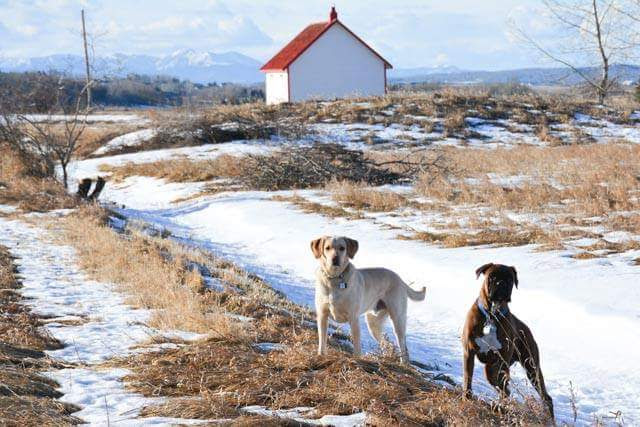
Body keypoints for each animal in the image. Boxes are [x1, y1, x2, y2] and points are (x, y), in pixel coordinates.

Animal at [462, 262, 552, 420]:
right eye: (492, 276)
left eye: (510, 279)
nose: (501, 283)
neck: (491, 315)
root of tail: (527, 329)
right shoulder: (469, 352)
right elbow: (468, 378)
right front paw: (466, 398)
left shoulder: (503, 359)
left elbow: (503, 386)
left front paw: (502, 407)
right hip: (494, 369)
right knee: (504, 388)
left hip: (531, 368)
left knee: (545, 397)